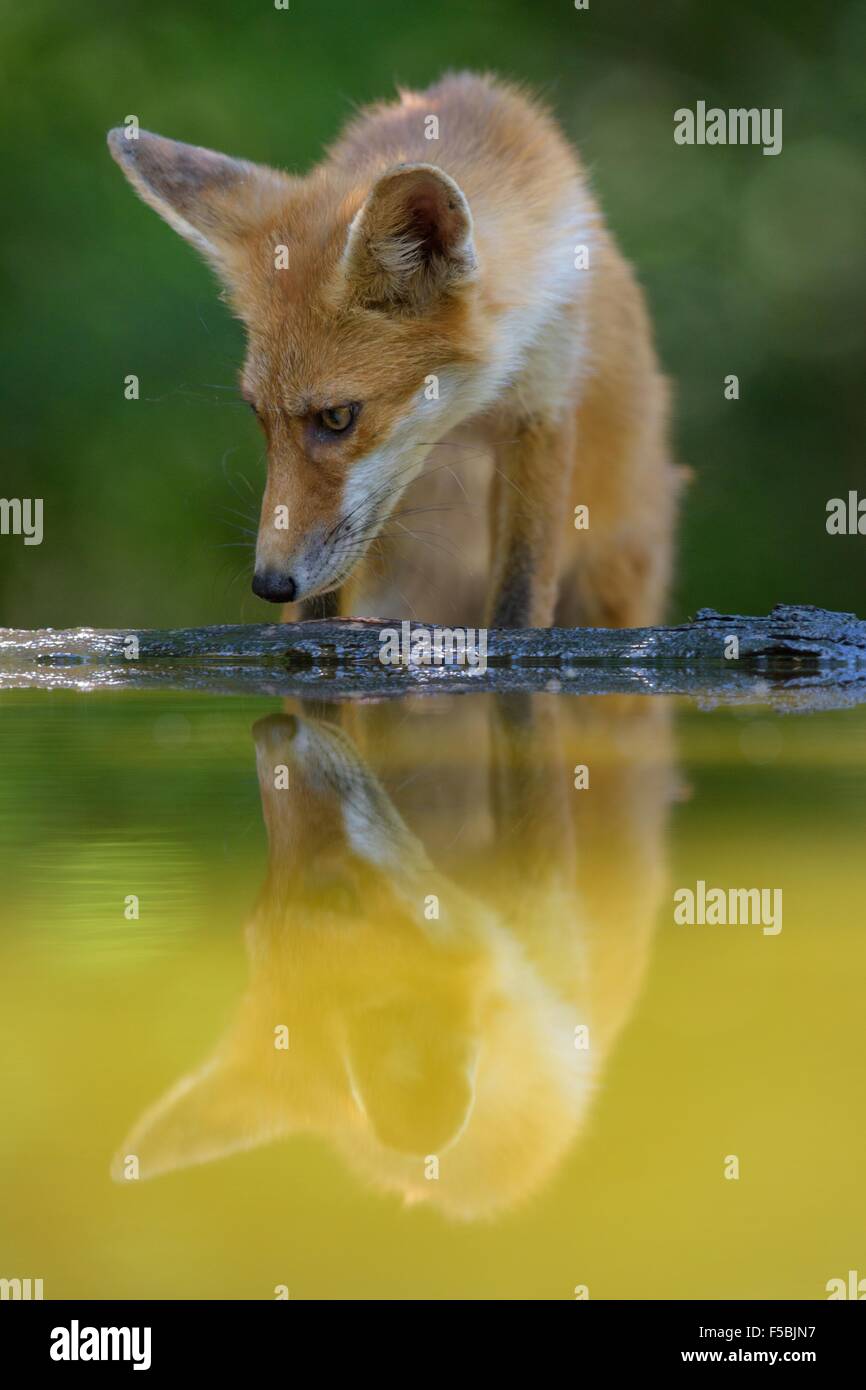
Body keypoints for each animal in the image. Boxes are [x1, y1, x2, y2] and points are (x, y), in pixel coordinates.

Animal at [108, 70, 681, 625]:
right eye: (256, 413)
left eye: (337, 417)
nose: (269, 584)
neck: (466, 416)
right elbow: (318, 617)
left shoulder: (544, 406)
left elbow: (519, 602)